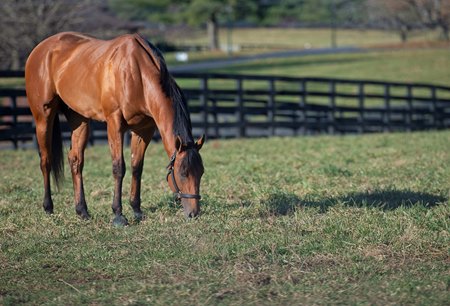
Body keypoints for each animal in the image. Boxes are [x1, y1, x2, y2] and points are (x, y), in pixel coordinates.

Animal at [25, 32, 205, 226]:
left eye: (201, 172)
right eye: (182, 173)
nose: (194, 214)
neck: (136, 74)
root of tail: (40, 49)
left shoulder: (144, 130)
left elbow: (137, 167)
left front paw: (136, 210)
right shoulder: (114, 123)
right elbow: (119, 167)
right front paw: (118, 215)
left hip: (79, 119)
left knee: (76, 161)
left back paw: (82, 211)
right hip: (43, 117)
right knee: (46, 160)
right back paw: (48, 207)